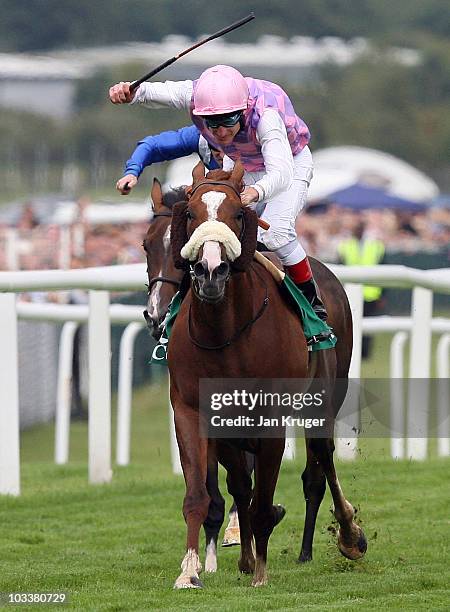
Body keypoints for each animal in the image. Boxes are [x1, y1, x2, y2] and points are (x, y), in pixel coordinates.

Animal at [167, 161, 368, 588]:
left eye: (238, 214)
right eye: (190, 214)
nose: (211, 272)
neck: (224, 332)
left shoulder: (271, 416)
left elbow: (262, 498)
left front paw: (260, 572)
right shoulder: (192, 410)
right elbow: (203, 494)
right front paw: (191, 571)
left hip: (324, 397)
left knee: (322, 461)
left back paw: (348, 536)